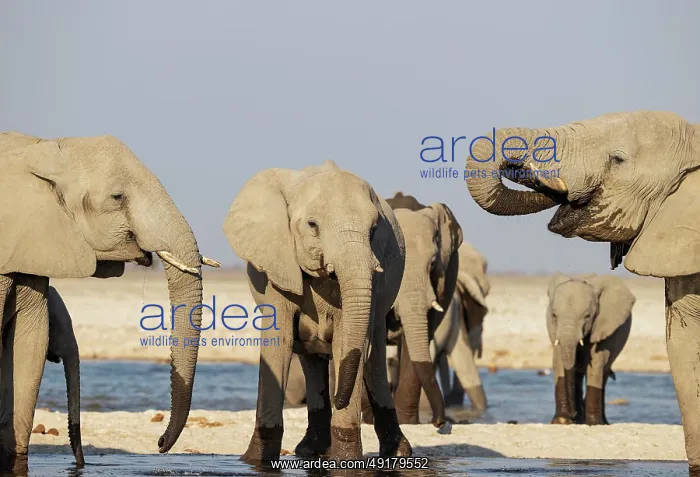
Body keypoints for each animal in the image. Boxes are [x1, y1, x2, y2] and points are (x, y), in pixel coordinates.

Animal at [223, 160, 411, 462]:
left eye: (373, 230)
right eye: (313, 226)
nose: (340, 399)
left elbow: (346, 341)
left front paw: (346, 462)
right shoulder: (276, 266)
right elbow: (279, 343)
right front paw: (254, 461)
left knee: (374, 361)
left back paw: (398, 453)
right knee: (311, 361)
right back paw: (309, 450)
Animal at [545, 273, 634, 425]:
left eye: (587, 316)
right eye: (554, 316)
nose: (573, 414)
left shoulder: (603, 326)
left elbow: (596, 364)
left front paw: (593, 423)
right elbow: (558, 362)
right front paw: (562, 421)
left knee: (603, 374)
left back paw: (601, 422)